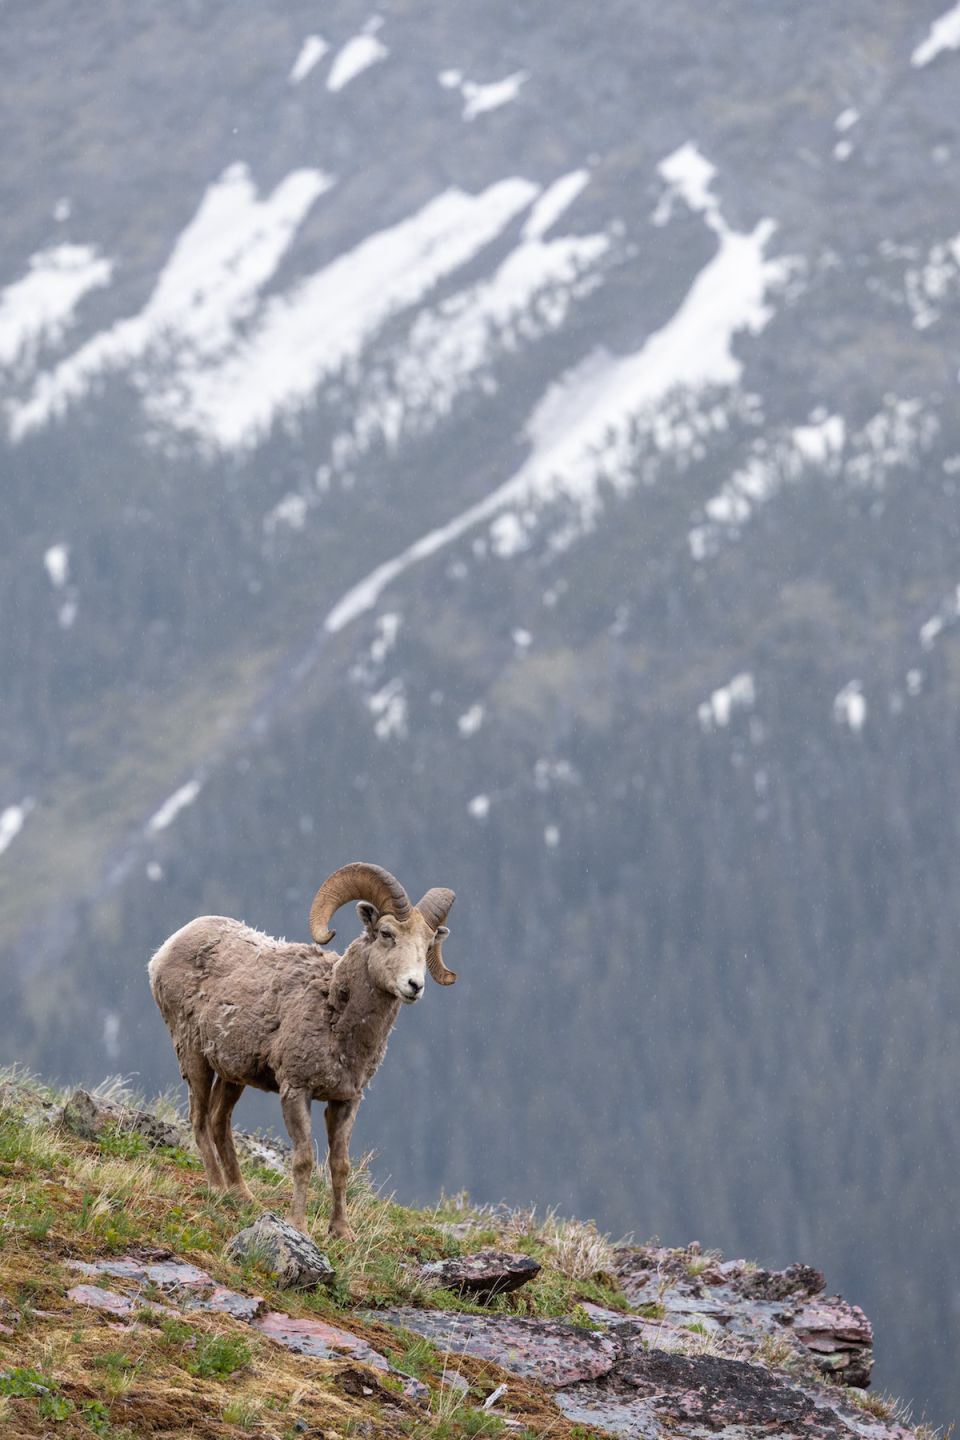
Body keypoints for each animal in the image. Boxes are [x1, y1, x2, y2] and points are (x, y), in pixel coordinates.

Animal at [148, 864, 457, 1238]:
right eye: (386, 933)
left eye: (427, 943)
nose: (414, 985)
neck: (334, 1012)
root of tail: (165, 949)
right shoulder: (296, 1090)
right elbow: (304, 1159)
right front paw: (298, 1225)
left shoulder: (346, 1101)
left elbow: (339, 1164)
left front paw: (342, 1231)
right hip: (194, 1057)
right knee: (199, 1120)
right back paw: (218, 1189)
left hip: (232, 1074)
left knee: (219, 1122)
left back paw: (243, 1196)